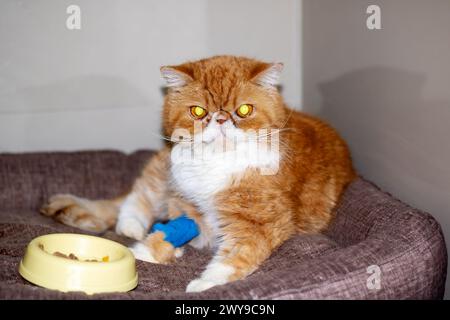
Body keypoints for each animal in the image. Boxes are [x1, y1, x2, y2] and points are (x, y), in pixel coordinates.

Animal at [41, 55, 356, 292]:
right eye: (198, 111)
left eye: (244, 110)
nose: (220, 119)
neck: (218, 164)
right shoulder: (182, 197)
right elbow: (166, 220)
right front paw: (149, 247)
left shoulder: (259, 224)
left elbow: (235, 254)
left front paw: (205, 283)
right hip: (163, 169)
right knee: (135, 198)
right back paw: (128, 224)